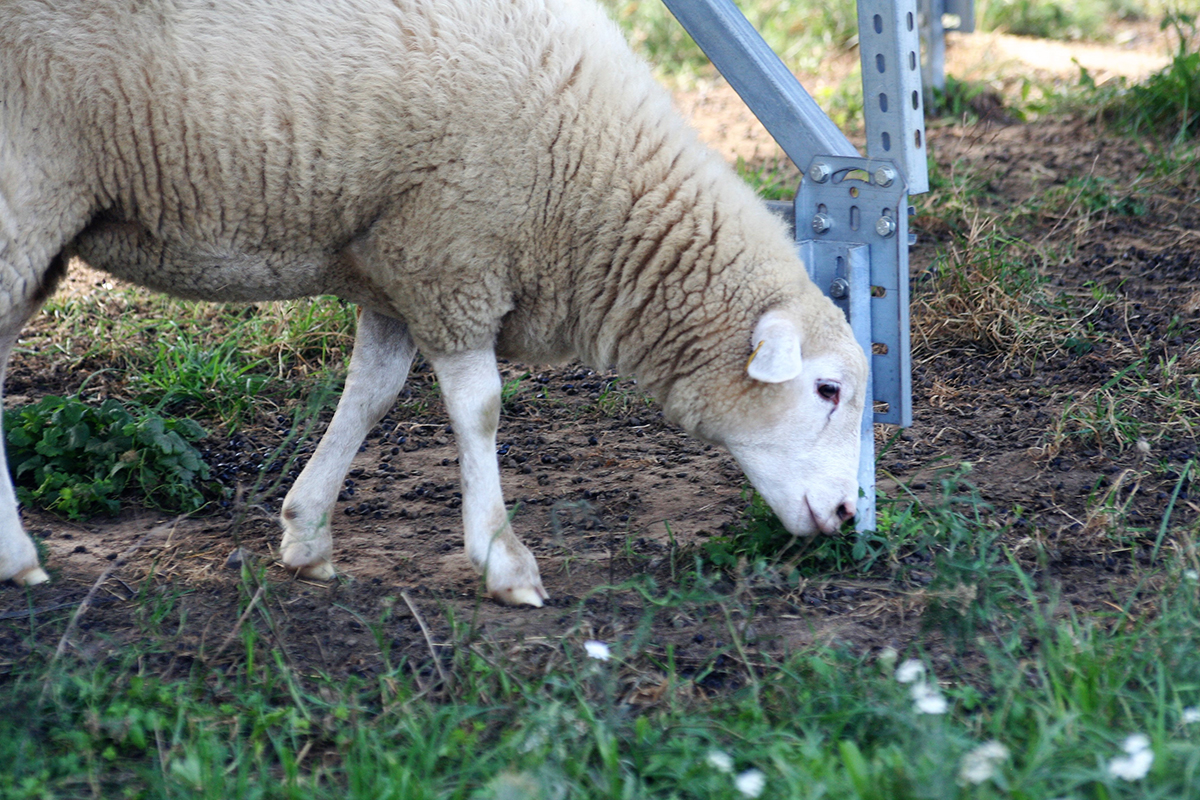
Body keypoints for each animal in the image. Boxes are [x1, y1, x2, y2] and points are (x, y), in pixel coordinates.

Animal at [0, 0, 868, 604]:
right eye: (827, 390)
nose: (849, 517)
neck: (587, 184)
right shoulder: (452, 255)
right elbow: (480, 408)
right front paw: (504, 561)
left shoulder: (396, 257)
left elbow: (372, 394)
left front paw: (307, 535)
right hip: (27, 187)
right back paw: (19, 559)